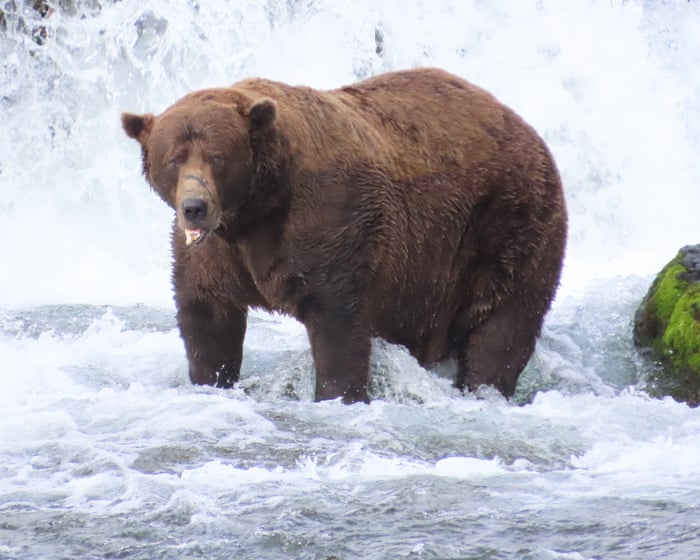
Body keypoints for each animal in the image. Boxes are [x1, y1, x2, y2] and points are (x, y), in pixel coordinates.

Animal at [121, 67, 567, 404]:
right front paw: (211, 378)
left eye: (217, 157)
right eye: (173, 159)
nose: (195, 206)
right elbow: (207, 314)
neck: (256, 210)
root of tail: (526, 128)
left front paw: (338, 394)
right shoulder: (215, 252)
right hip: (429, 277)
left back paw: (484, 387)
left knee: (504, 326)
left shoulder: (330, 221)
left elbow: (337, 320)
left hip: (508, 225)